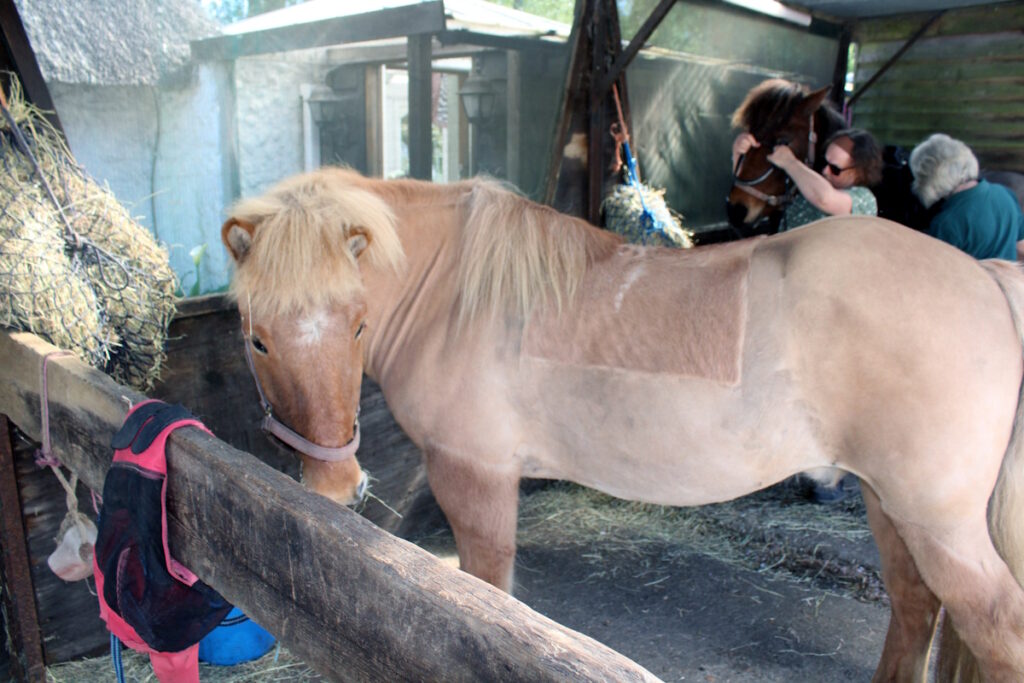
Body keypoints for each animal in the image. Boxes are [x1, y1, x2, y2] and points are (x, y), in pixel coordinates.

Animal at [221, 166, 1024, 682]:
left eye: (358, 324)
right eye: (256, 336)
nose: (335, 484)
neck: (453, 295)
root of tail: (985, 278)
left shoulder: (472, 473)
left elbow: (486, 594)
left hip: (938, 522)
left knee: (994, 626)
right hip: (891, 505)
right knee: (916, 609)